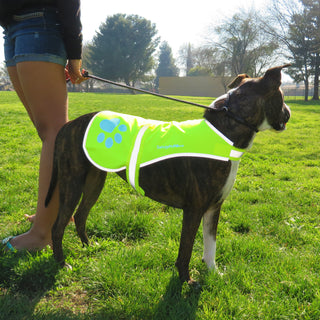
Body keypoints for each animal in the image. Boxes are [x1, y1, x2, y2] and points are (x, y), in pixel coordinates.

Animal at [47, 64, 290, 284]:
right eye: (282, 96)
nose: (289, 111)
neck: (224, 129)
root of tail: (69, 125)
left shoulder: (214, 207)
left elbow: (210, 245)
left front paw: (213, 273)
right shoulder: (194, 210)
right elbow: (186, 249)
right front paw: (186, 281)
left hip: (94, 181)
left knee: (80, 216)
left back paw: (89, 247)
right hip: (72, 183)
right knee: (58, 225)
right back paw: (61, 263)